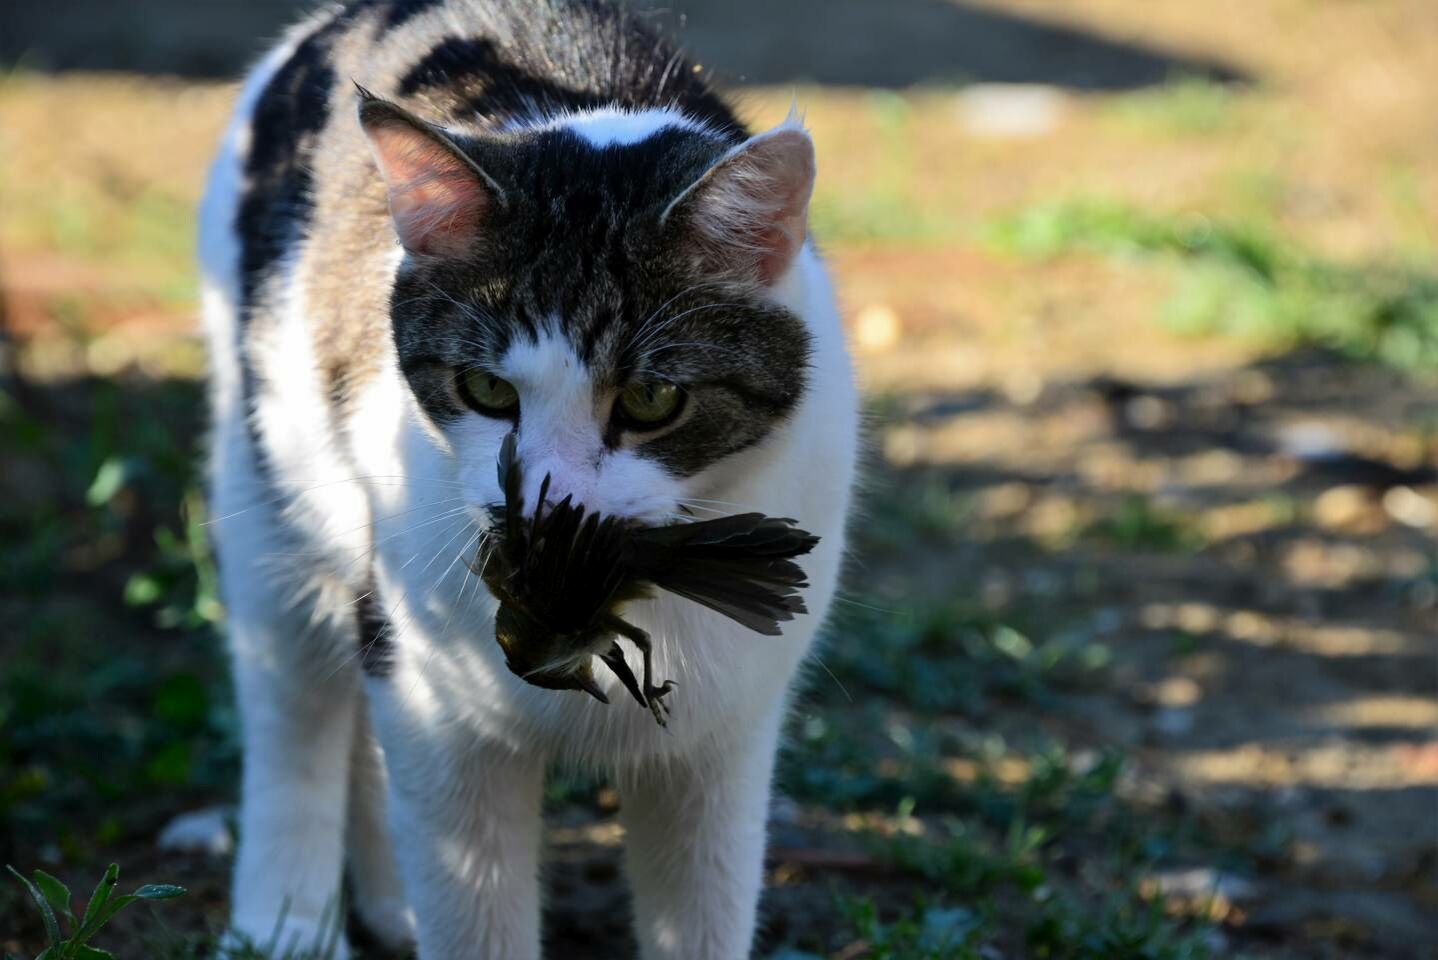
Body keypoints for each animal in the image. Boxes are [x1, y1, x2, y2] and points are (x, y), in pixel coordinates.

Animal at [197, 3, 857, 954]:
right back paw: (283, 922)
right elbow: (473, 909)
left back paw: (388, 903)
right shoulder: (436, 709)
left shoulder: (721, 741)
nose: (551, 509)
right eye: (486, 391)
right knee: (296, 708)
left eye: (652, 399)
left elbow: (704, 907)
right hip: (265, 489)